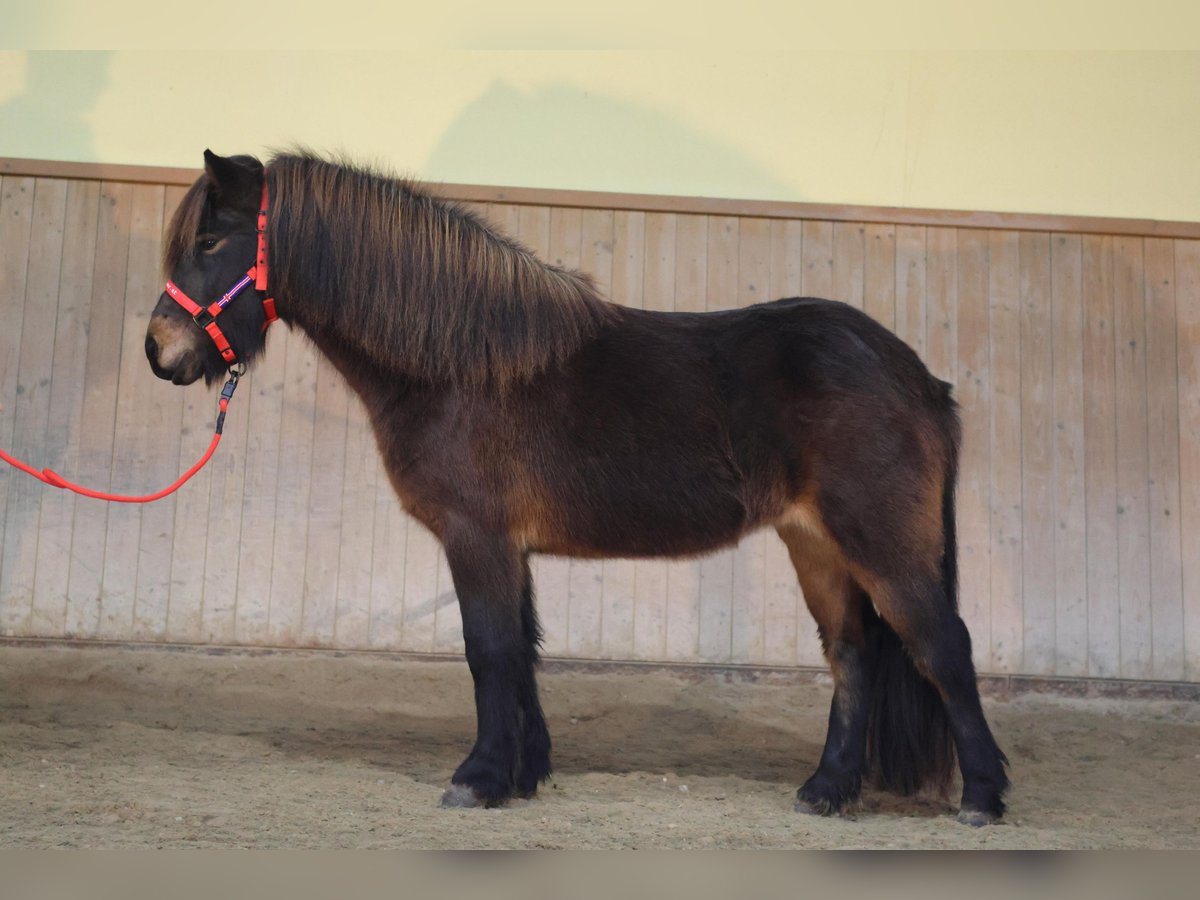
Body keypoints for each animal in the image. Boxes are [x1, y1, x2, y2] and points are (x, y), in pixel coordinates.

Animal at [145, 151, 1008, 830]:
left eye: (212, 241)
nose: (160, 351)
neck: (461, 362)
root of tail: (917, 377)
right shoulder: (511, 548)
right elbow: (522, 651)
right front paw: (524, 774)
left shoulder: (477, 537)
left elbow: (489, 651)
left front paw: (478, 779)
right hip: (817, 544)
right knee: (853, 655)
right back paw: (826, 790)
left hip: (881, 544)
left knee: (942, 647)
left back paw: (983, 797)